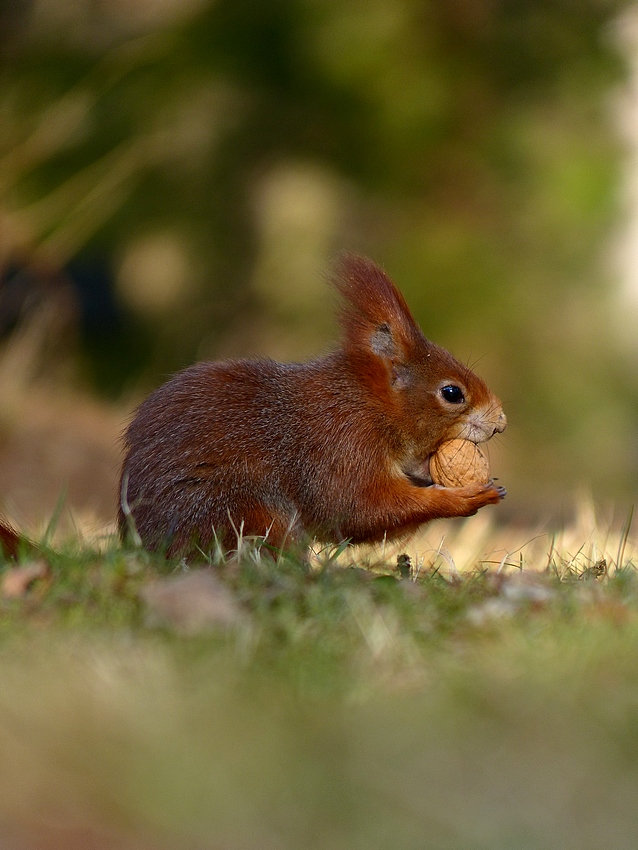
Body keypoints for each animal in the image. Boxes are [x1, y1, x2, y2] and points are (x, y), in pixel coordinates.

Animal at [117, 254, 506, 558]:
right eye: (452, 393)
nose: (500, 422)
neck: (368, 404)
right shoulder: (340, 444)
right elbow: (355, 508)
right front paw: (466, 498)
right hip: (240, 514)